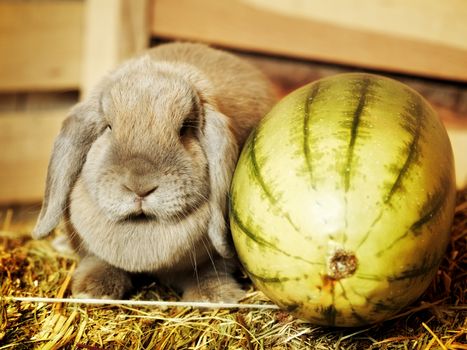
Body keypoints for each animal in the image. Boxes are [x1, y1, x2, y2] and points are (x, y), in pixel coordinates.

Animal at [33, 42, 278, 302]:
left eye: (185, 129)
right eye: (108, 127)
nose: (140, 187)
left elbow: (212, 269)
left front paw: (213, 296)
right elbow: (97, 259)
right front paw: (93, 290)